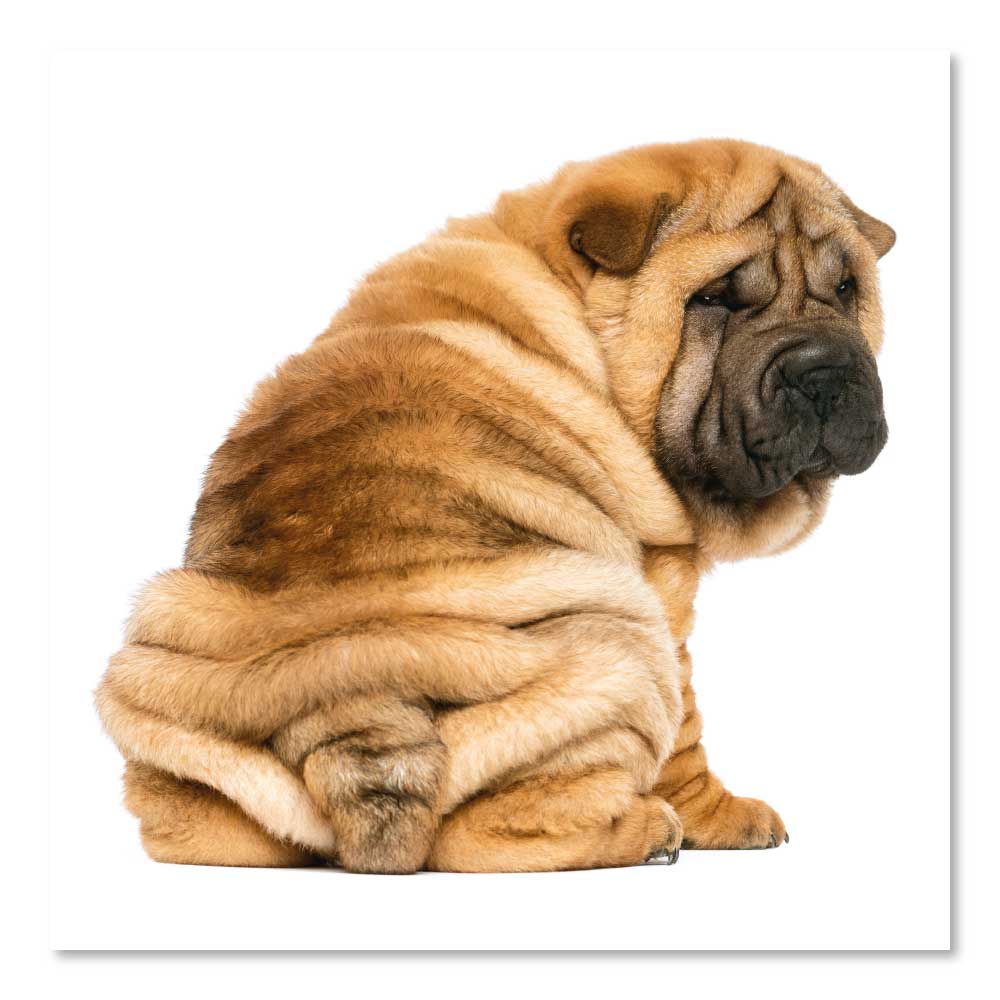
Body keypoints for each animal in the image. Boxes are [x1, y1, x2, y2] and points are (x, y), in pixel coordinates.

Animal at [97, 139, 893, 872]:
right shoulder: (664, 585)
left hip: (161, 687)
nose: (824, 370)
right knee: (485, 837)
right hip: (621, 647)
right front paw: (722, 818)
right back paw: (645, 831)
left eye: (847, 288)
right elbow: (688, 736)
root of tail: (345, 697)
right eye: (718, 300)